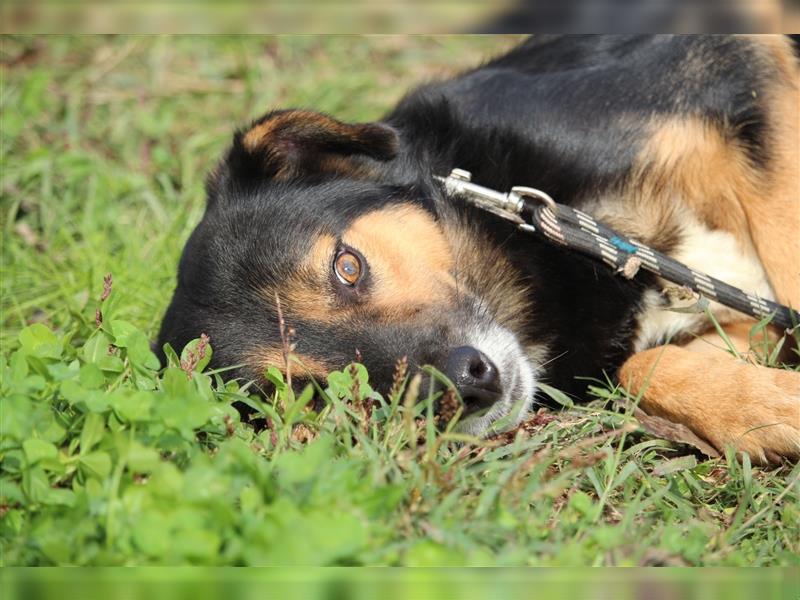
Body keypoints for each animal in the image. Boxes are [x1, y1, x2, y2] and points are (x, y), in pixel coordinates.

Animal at [158, 34, 800, 464]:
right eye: (313, 396)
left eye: (347, 267)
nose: (466, 386)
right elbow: (643, 364)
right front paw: (767, 407)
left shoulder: (742, 70)